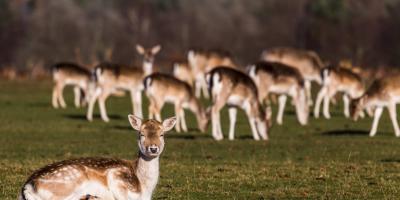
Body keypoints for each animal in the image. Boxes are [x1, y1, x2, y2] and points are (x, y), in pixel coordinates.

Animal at [19, 115, 177, 199]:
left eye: (162, 134)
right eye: (141, 134)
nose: (153, 148)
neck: (144, 187)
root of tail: (27, 187)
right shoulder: (117, 176)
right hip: (67, 184)